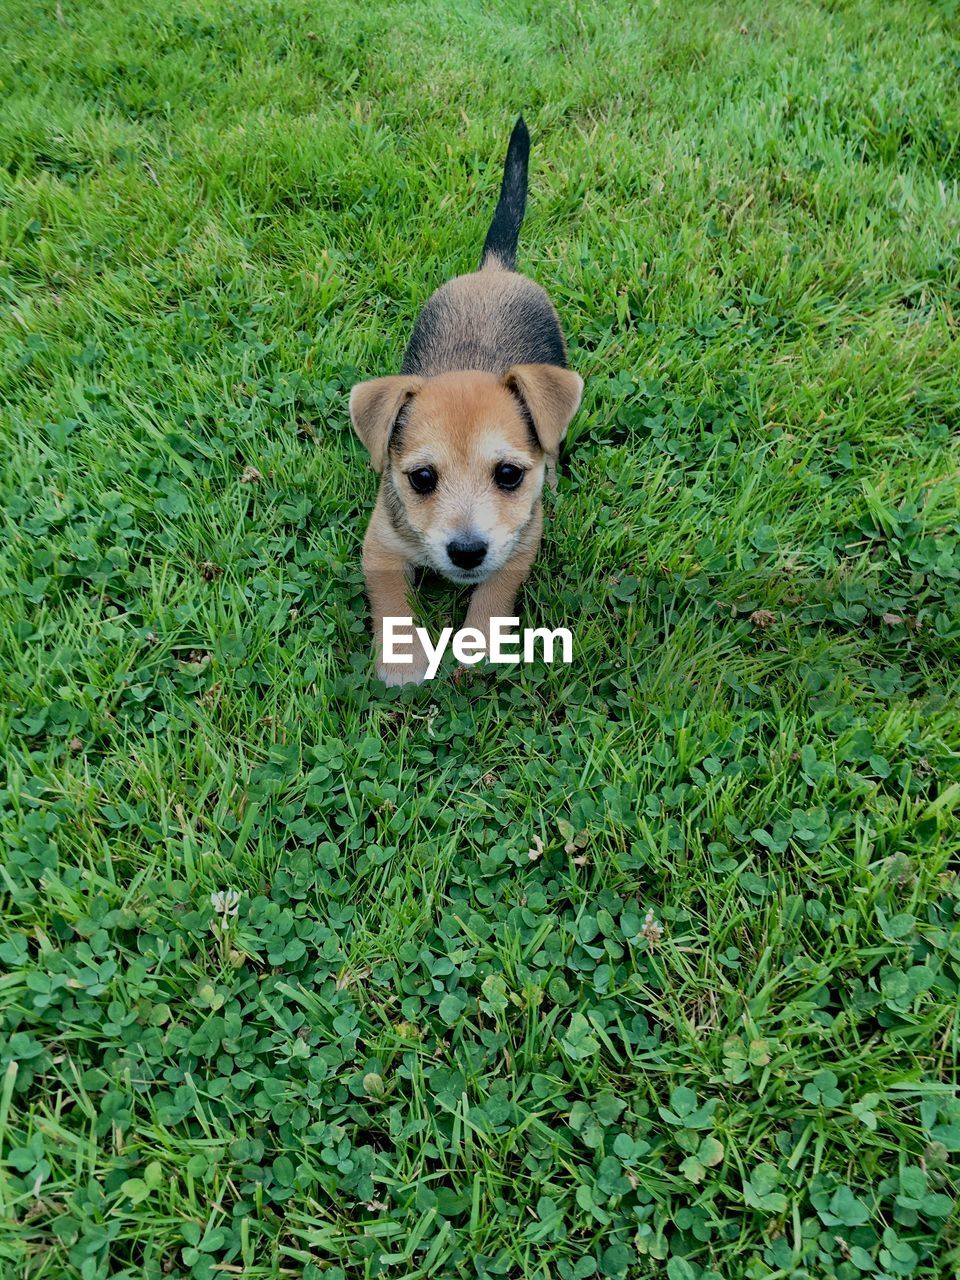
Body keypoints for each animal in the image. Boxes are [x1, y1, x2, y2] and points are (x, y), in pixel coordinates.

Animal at [350, 115, 583, 686]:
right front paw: (402, 658)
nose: (467, 552)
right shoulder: (380, 544)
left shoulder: (520, 542)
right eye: (421, 479)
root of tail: (494, 270)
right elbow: (390, 599)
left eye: (510, 475)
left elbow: (495, 592)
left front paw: (479, 642)